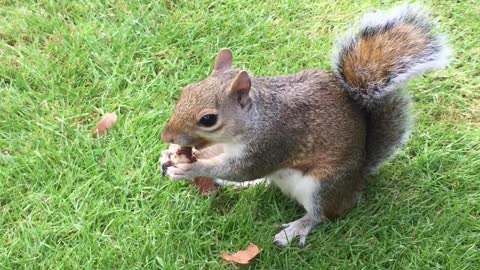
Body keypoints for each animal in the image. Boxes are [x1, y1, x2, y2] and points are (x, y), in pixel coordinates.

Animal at [160, 4, 450, 248]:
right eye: (187, 90)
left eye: (208, 119)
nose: (166, 136)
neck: (252, 120)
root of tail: (358, 180)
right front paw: (170, 155)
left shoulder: (272, 143)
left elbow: (242, 169)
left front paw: (191, 167)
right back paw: (246, 186)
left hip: (323, 186)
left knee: (322, 215)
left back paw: (297, 228)